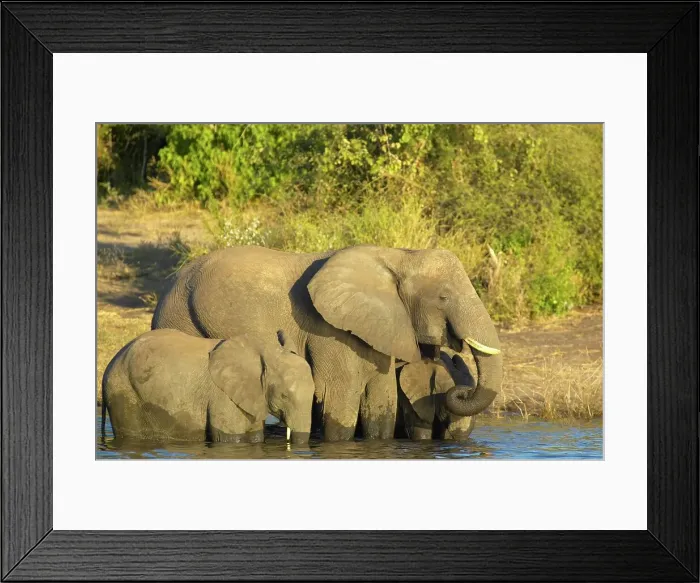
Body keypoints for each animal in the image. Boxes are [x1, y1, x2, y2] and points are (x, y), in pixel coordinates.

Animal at [152, 245, 503, 441]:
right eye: (443, 297)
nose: (461, 389)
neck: (400, 256)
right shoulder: (328, 331)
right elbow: (341, 398)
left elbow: (381, 404)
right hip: (179, 316)